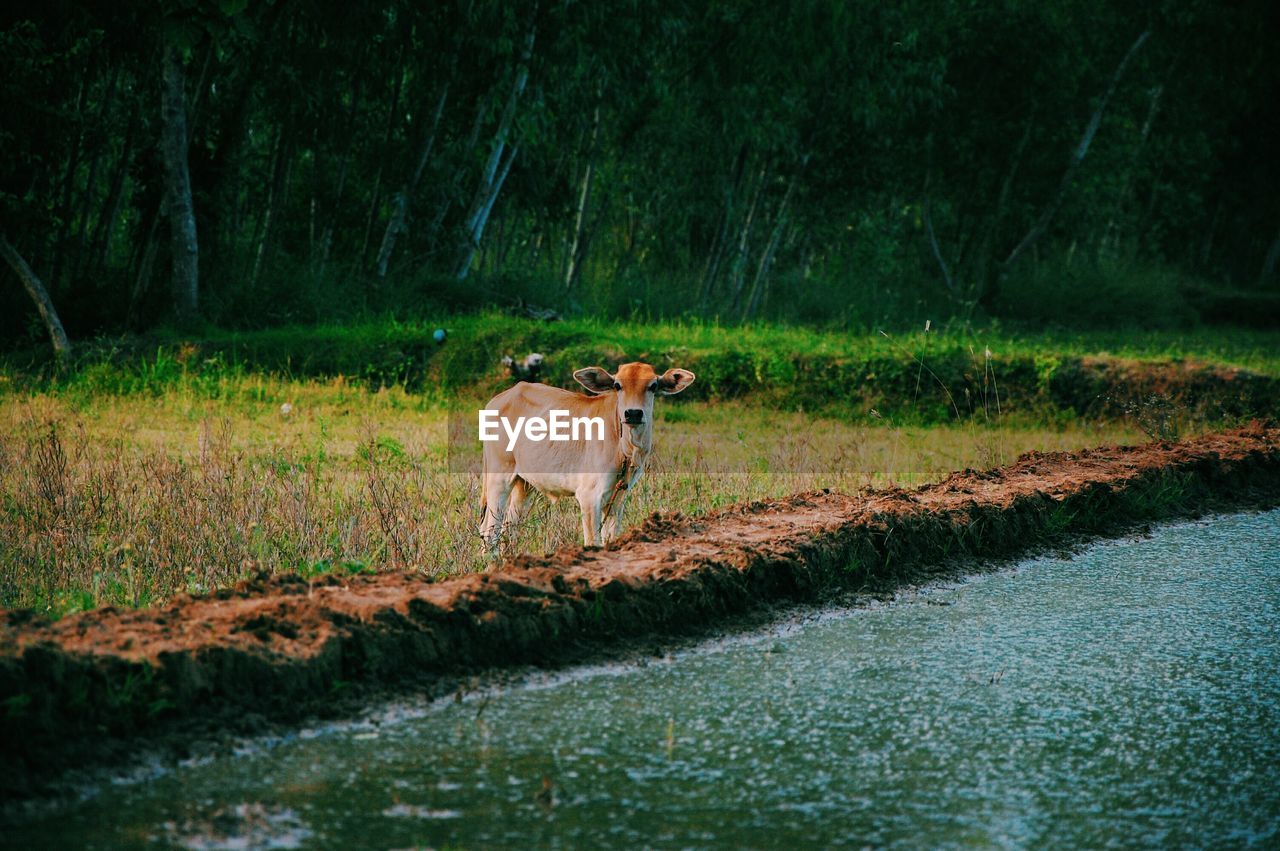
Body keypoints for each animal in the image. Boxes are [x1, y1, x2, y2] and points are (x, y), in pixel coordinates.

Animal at [481, 360, 696, 555]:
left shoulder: (618, 499)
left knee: (509, 527)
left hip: (524, 484)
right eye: (617, 386)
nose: (633, 413)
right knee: (490, 531)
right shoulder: (589, 496)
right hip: (499, 476)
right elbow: (593, 542)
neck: (626, 450)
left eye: (653, 386)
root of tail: (501, 397)